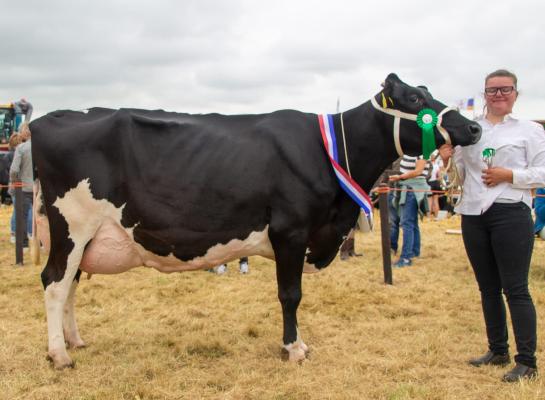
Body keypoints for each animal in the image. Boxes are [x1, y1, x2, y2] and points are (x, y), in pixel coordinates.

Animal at [30, 74, 480, 368]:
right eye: (413, 98)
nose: (474, 127)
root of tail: (47, 118)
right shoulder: (291, 231)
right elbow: (290, 295)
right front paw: (294, 349)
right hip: (72, 225)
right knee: (54, 283)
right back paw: (59, 354)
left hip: (82, 236)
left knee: (69, 284)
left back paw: (75, 340)